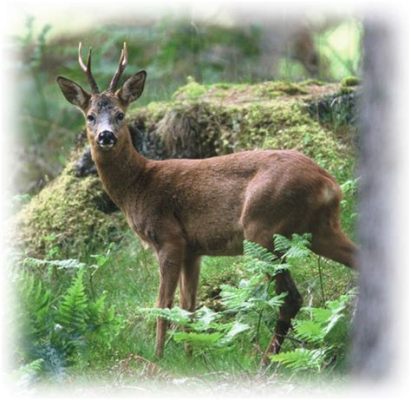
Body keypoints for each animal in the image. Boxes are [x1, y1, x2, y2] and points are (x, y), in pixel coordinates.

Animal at [57, 42, 358, 358]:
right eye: (90, 116)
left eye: (120, 114)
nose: (106, 136)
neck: (137, 185)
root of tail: (329, 183)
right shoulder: (194, 250)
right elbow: (189, 305)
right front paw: (190, 355)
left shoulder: (169, 237)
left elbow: (163, 304)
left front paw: (157, 359)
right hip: (321, 228)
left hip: (263, 226)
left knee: (290, 298)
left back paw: (266, 359)